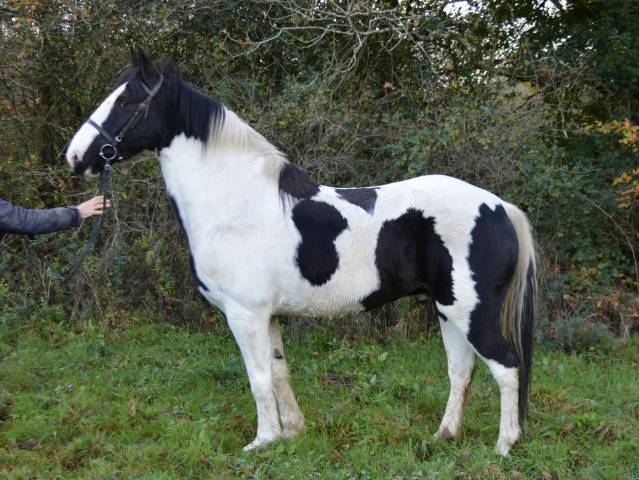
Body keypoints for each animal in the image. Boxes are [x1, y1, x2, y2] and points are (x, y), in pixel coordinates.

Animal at [66, 50, 536, 456]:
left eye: (125, 99)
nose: (75, 156)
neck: (234, 202)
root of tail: (499, 207)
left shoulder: (245, 315)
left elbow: (257, 378)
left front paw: (262, 441)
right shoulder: (268, 317)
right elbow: (278, 372)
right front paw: (292, 432)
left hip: (471, 313)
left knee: (506, 367)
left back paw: (504, 446)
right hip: (447, 311)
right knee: (461, 371)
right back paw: (443, 436)